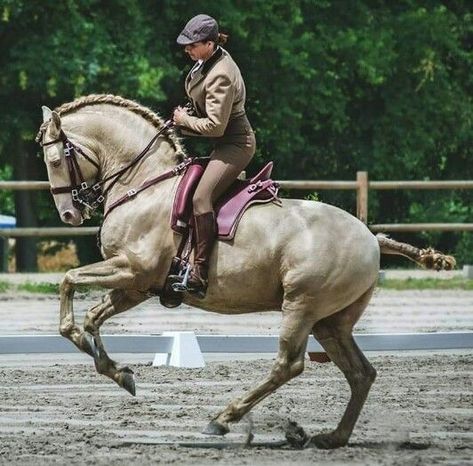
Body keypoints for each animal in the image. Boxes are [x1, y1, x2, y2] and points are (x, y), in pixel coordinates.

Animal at [37, 93, 454, 448]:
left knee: (289, 365)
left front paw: (109, 363)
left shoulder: (132, 270)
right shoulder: (135, 286)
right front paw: (119, 373)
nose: (70, 214)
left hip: (301, 307)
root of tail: (370, 237)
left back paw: (223, 419)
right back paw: (332, 437)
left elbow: (68, 282)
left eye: (55, 161)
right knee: (361, 373)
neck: (143, 185)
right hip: (331, 322)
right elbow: (91, 317)